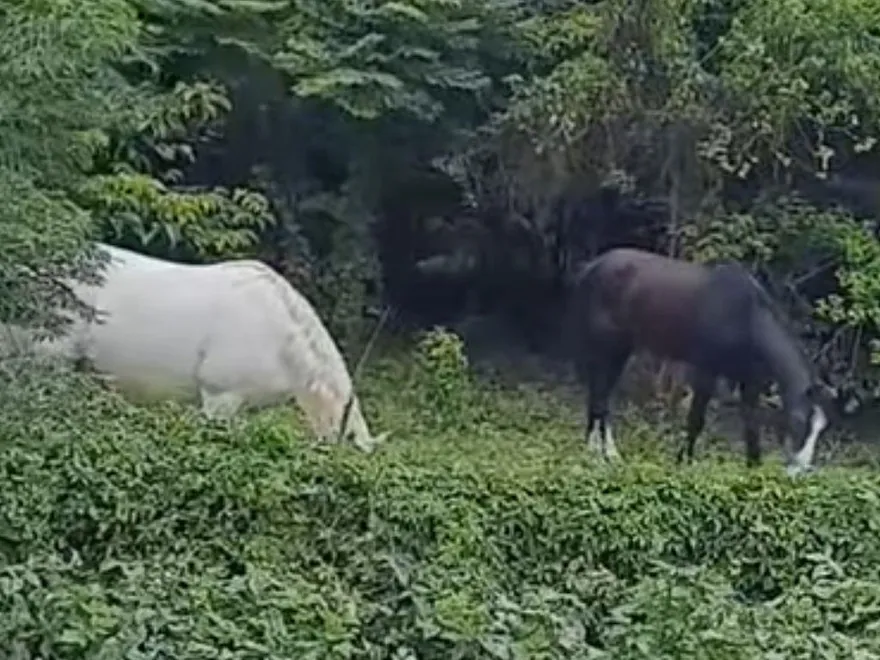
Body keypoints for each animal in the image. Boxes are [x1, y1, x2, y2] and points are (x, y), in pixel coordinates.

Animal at [565, 247, 830, 476]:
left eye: (820, 429)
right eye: (798, 420)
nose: (799, 471)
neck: (746, 317)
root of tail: (592, 267)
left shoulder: (749, 382)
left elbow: (751, 426)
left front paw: (753, 469)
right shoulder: (706, 371)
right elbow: (696, 420)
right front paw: (684, 462)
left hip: (619, 351)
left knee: (599, 398)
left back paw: (598, 453)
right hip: (606, 347)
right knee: (600, 400)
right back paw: (604, 455)